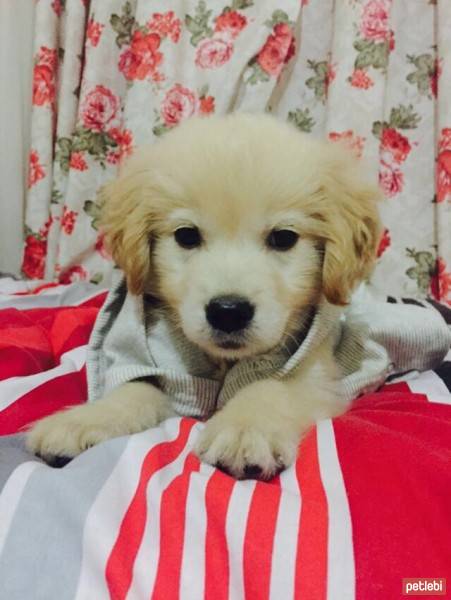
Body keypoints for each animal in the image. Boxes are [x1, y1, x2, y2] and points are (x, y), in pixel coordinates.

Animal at [27, 112, 382, 478]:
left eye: (284, 238)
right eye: (186, 236)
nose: (228, 311)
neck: (224, 363)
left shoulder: (317, 375)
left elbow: (273, 387)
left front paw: (244, 429)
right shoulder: (169, 375)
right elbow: (134, 390)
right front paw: (83, 421)